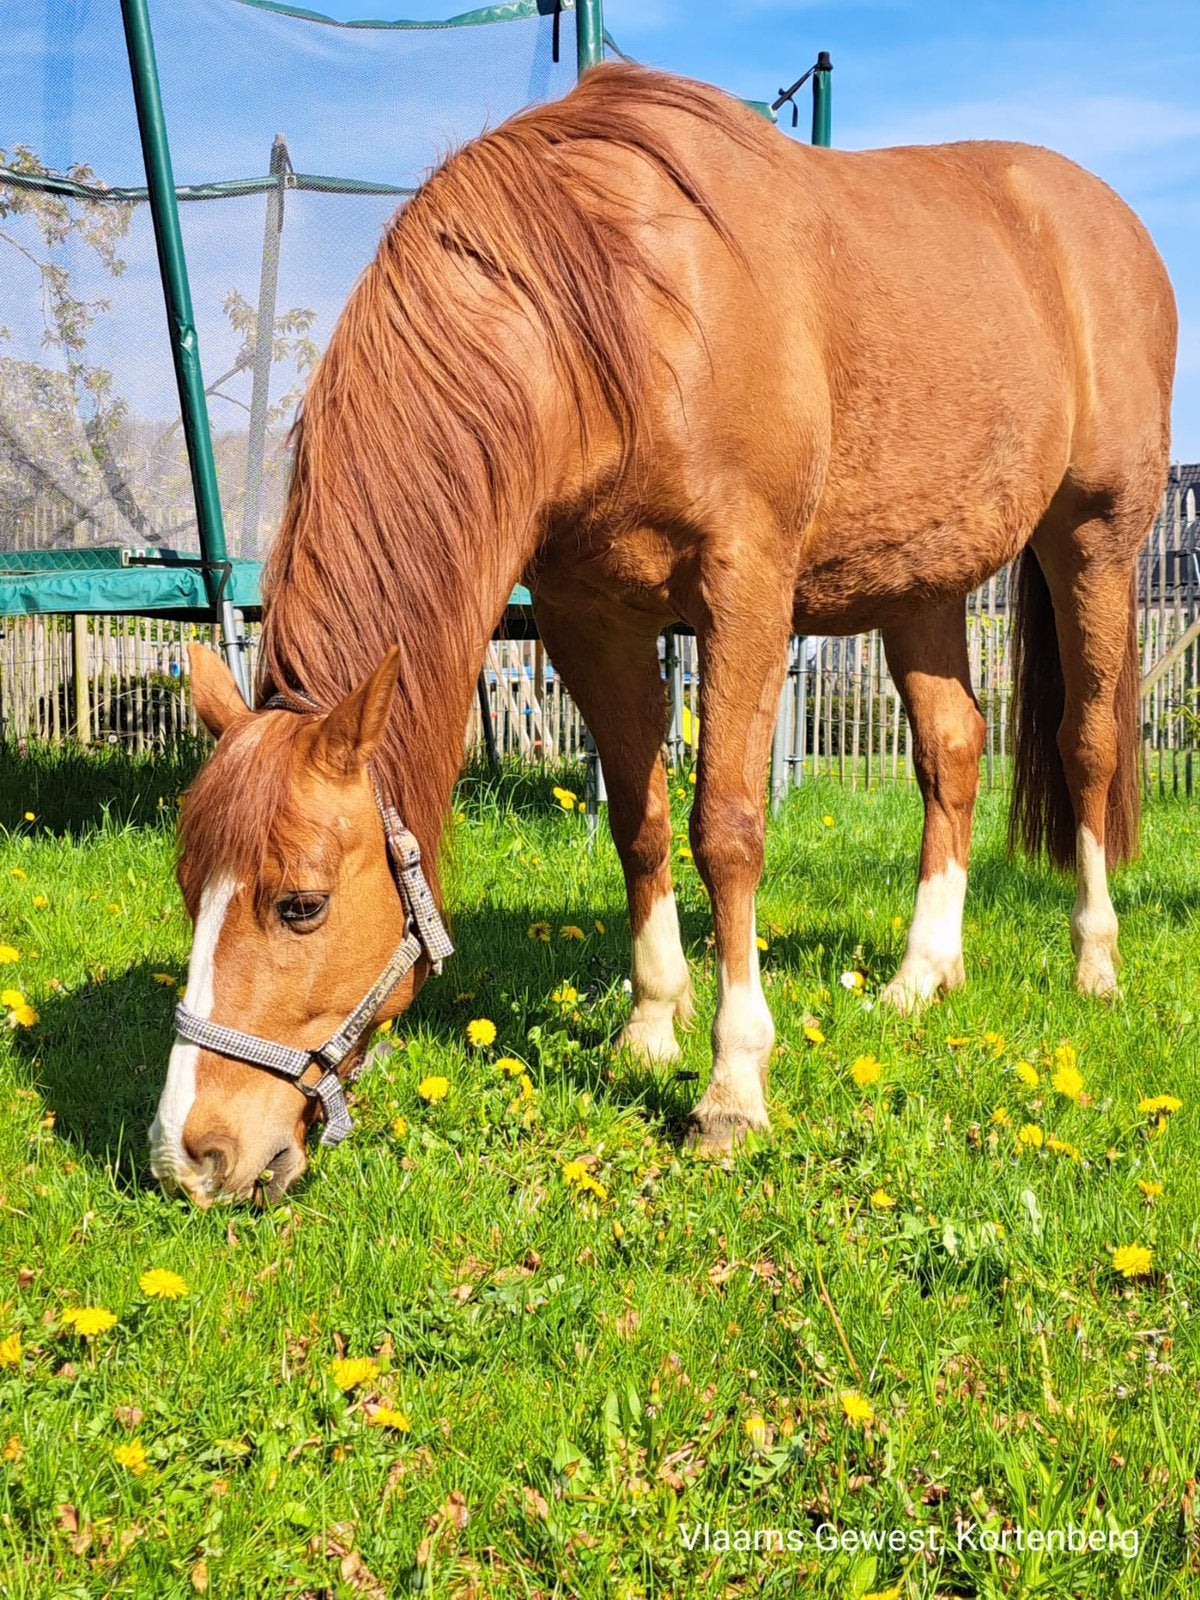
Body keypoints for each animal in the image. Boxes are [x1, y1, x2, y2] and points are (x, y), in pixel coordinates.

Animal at [149, 62, 1176, 1205]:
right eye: (190, 889)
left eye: (301, 905)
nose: (191, 1155)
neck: (615, 316)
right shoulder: (589, 618)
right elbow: (638, 825)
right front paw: (649, 1027)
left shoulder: (745, 593)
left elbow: (724, 829)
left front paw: (732, 1086)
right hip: (922, 583)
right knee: (952, 750)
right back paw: (922, 974)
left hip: (1093, 539)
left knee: (1088, 746)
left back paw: (1095, 962)